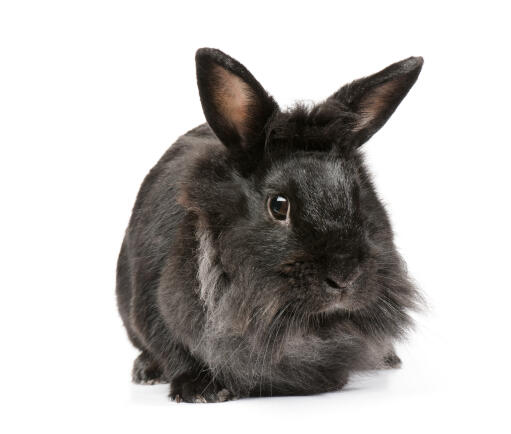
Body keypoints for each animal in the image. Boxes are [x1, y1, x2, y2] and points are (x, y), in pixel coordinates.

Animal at [116, 48, 424, 404]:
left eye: (359, 195)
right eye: (278, 206)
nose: (344, 276)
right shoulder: (154, 306)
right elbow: (173, 349)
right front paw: (200, 391)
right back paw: (146, 371)